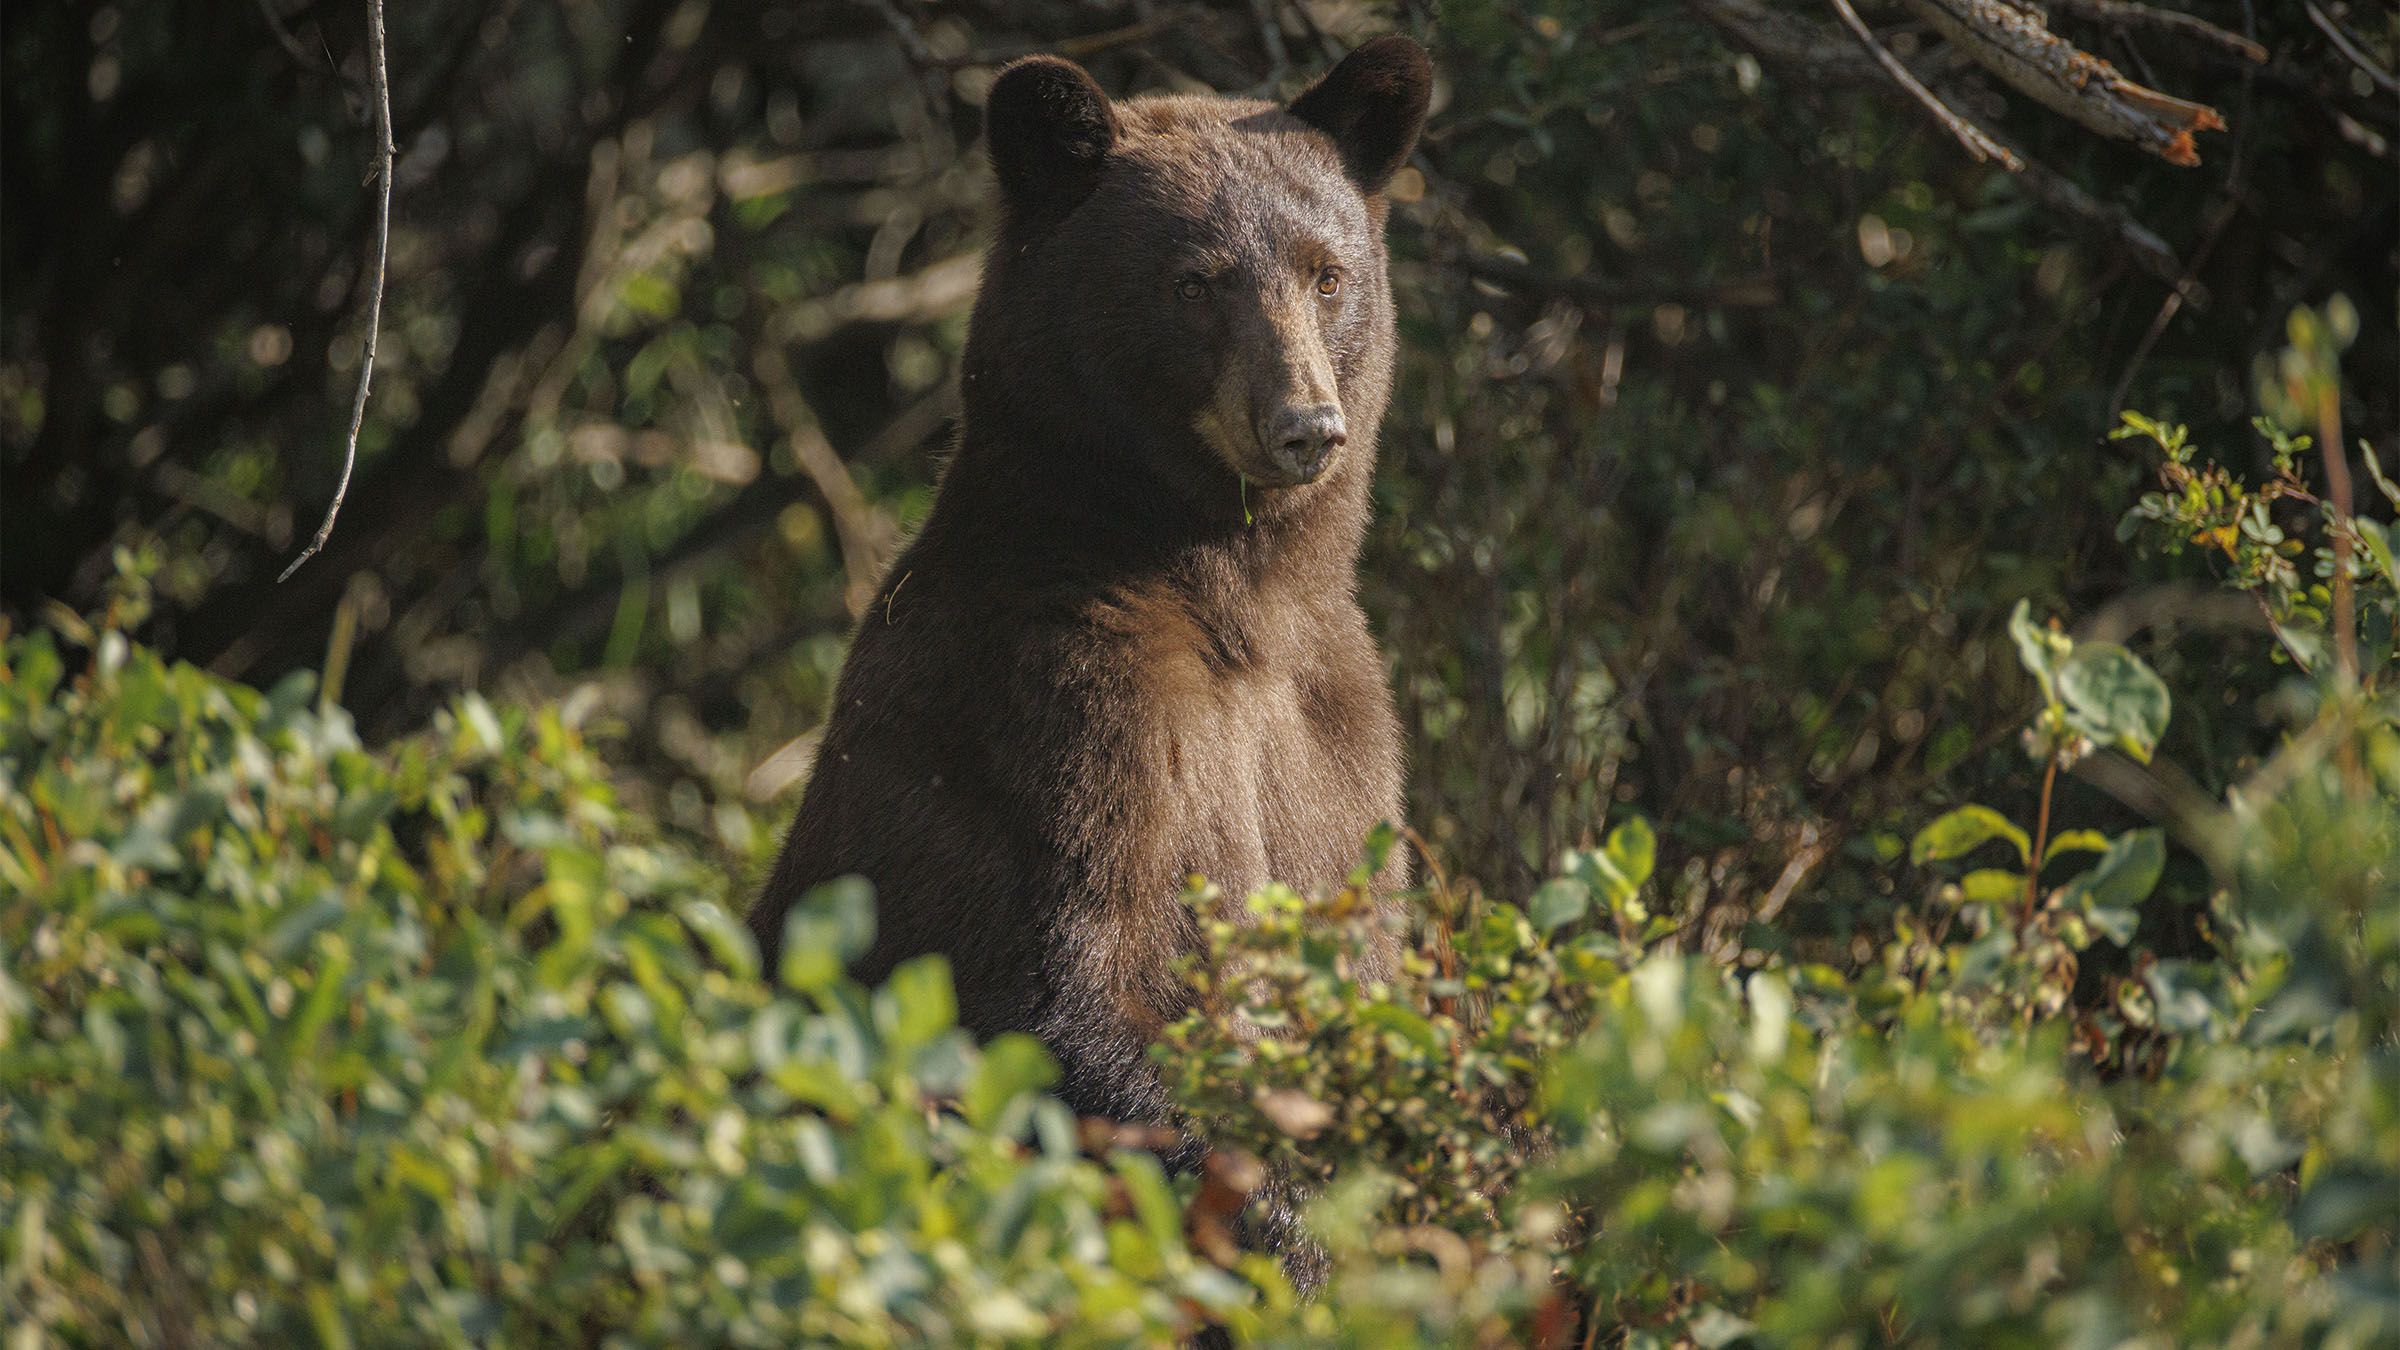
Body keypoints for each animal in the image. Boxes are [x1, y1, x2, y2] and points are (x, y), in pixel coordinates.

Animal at [748, 33, 1430, 1202]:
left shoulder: (1338, 732)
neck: (1231, 593)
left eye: (1327, 273)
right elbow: (1072, 984)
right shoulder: (1057, 695)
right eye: (1194, 280)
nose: (1305, 425)